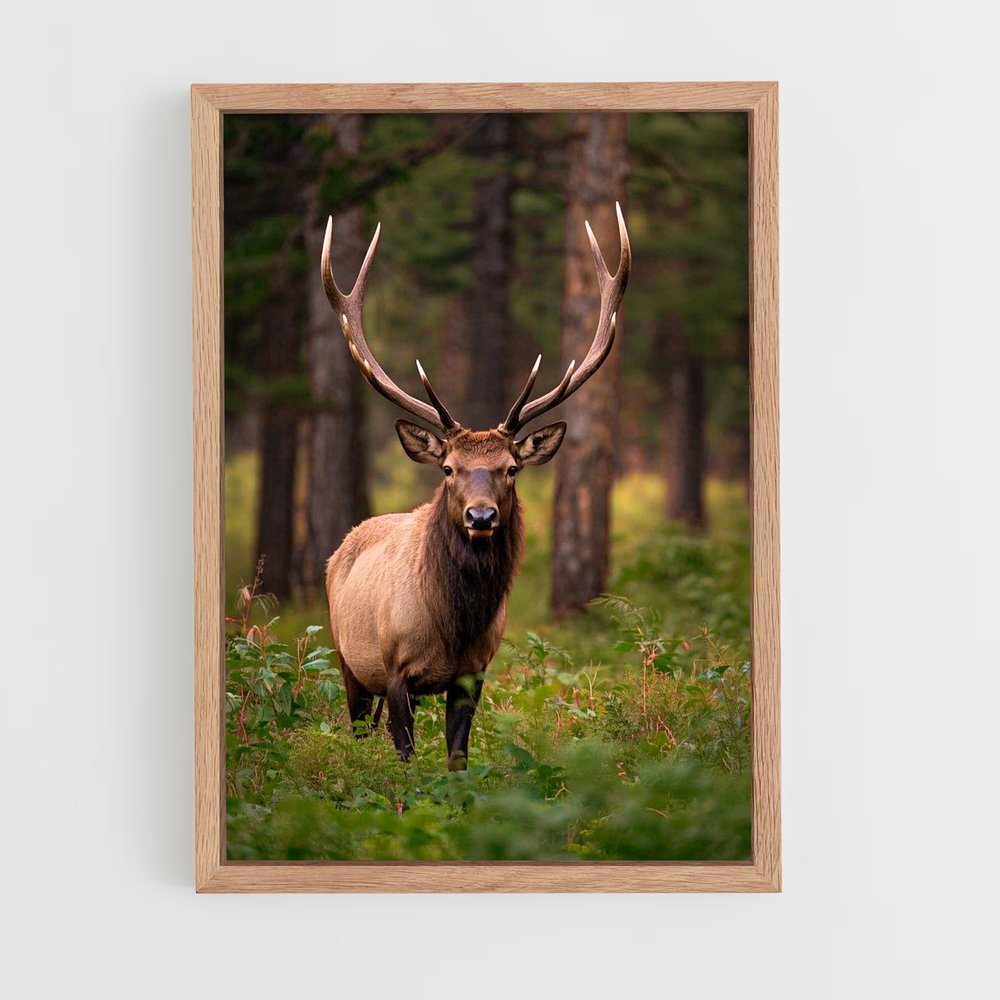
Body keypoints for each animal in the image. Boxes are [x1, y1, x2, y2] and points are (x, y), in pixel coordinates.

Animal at [321, 203, 631, 769]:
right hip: (346, 656)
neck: (454, 625)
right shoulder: (394, 668)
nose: (481, 516)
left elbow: (457, 760)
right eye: (448, 468)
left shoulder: (474, 671)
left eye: (511, 467)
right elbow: (406, 760)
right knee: (356, 726)